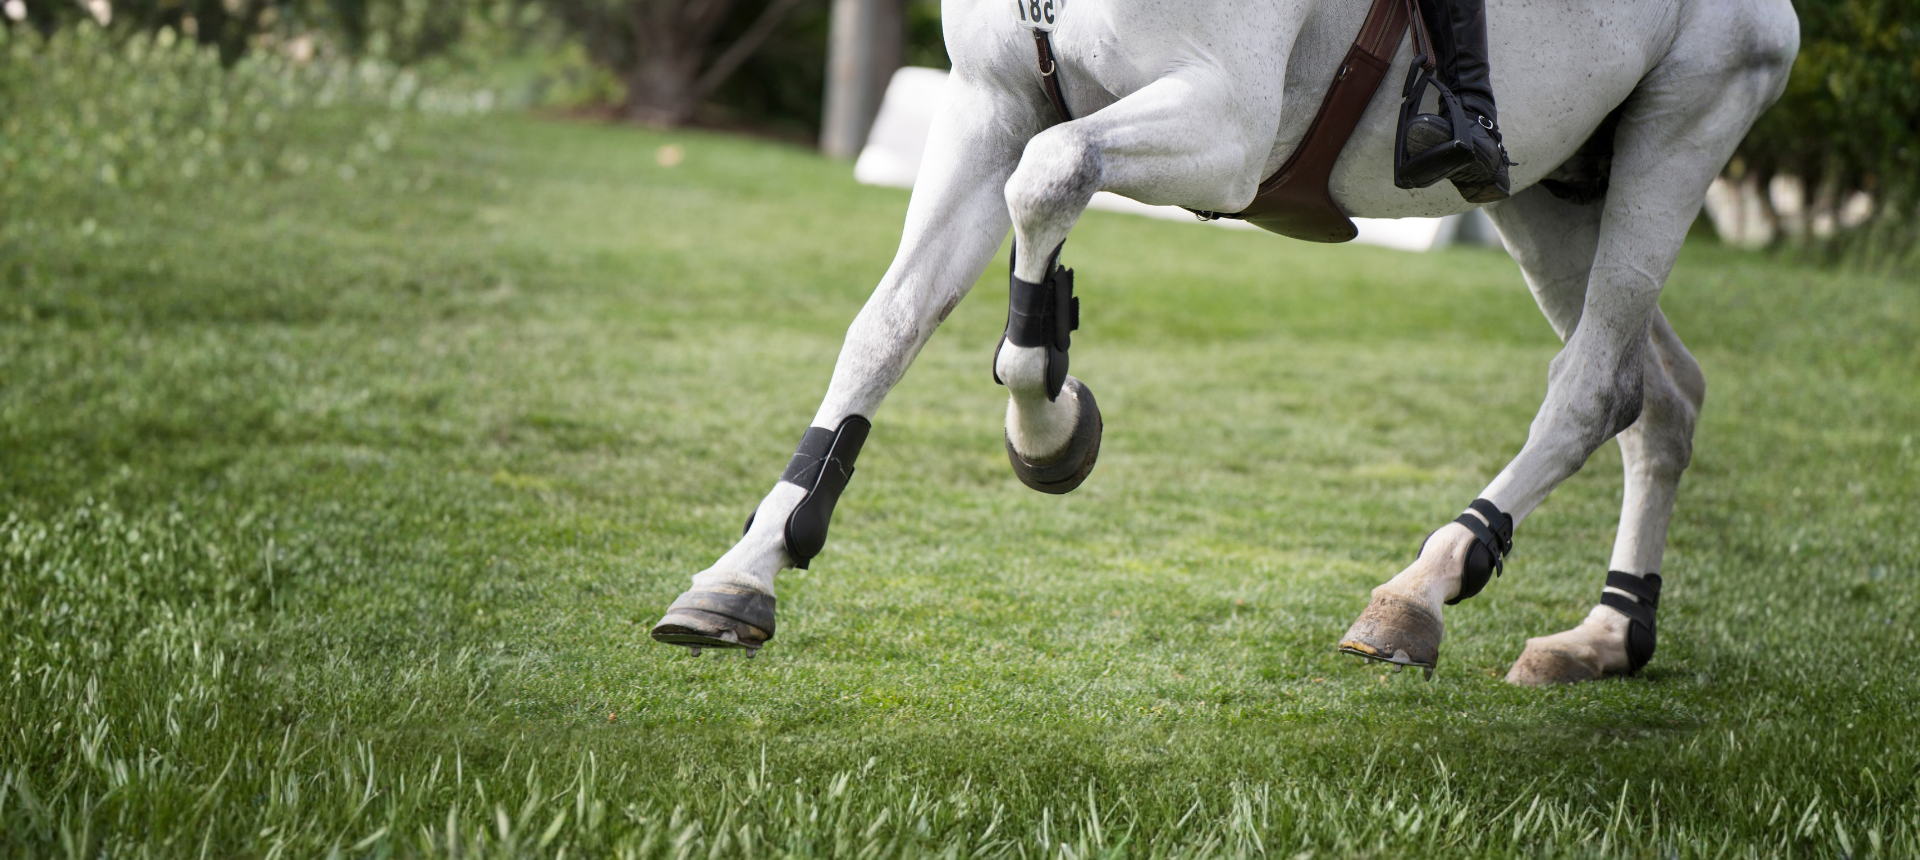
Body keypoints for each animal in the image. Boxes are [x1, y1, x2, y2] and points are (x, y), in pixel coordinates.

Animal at [650, 0, 1799, 685]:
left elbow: (1052, 176)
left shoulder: (1224, 127)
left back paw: (1420, 590)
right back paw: (1605, 636)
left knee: (1596, 385)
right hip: (1544, 191)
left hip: (1678, 132)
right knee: (1662, 395)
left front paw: (1049, 427)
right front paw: (746, 569)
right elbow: (887, 325)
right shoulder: (989, 106)